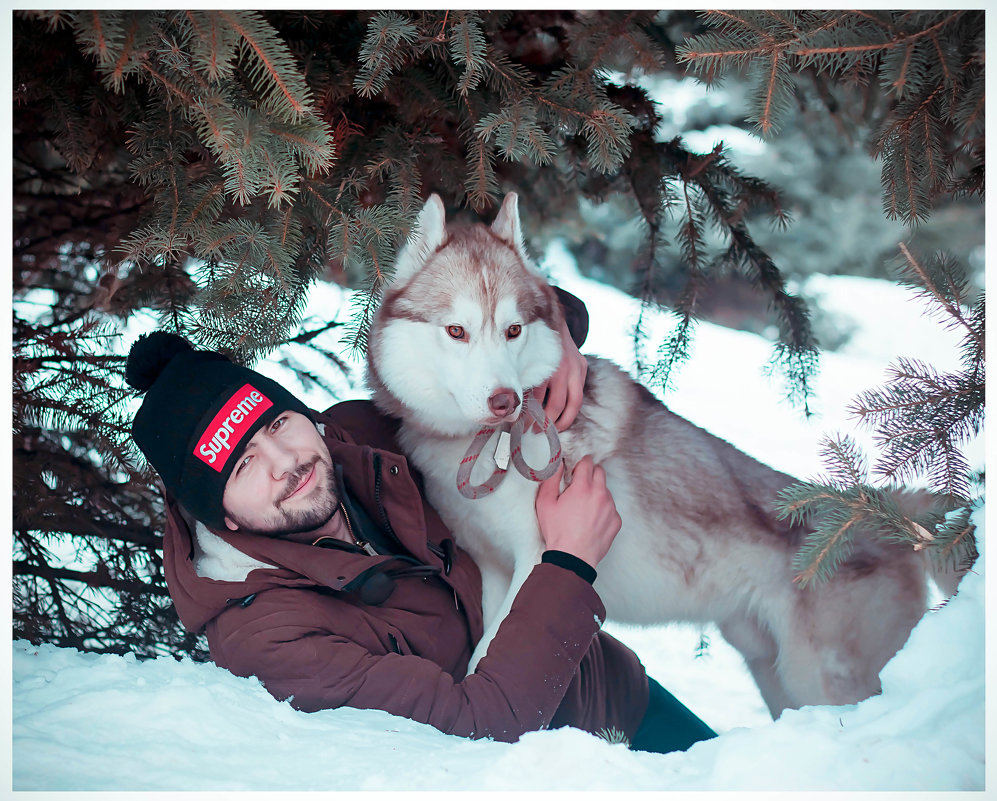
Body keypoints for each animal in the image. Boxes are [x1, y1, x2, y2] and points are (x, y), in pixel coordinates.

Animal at [364, 194, 948, 720]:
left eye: (513, 330)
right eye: (456, 331)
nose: (505, 400)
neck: (485, 444)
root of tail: (885, 507)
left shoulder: (538, 552)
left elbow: (498, 644)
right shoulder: (489, 563)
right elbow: (490, 636)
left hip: (818, 680)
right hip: (775, 674)